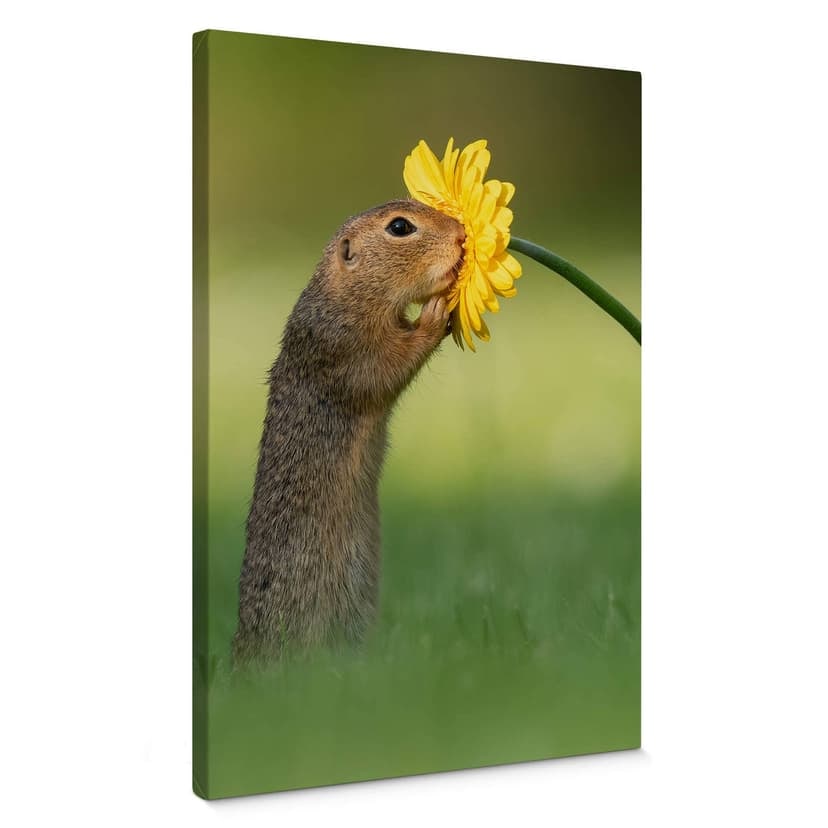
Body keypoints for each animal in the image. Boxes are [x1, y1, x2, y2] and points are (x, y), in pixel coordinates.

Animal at [232, 199, 465, 666]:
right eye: (400, 227)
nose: (462, 234)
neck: (345, 294)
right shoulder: (346, 347)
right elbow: (389, 365)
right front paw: (434, 313)